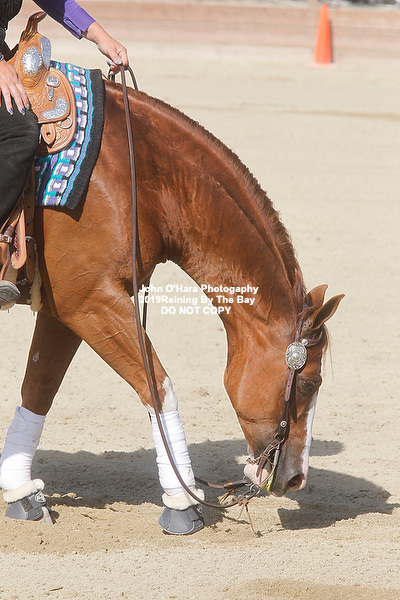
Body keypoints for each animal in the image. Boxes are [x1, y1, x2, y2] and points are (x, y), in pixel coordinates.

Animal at [0, 77, 344, 532]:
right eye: (309, 383)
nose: (296, 478)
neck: (140, 174)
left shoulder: (65, 309)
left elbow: (38, 392)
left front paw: (20, 492)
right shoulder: (92, 302)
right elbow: (157, 387)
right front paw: (181, 501)